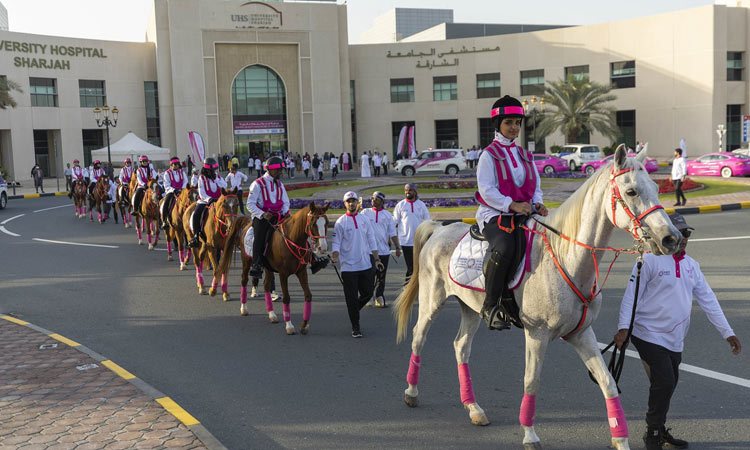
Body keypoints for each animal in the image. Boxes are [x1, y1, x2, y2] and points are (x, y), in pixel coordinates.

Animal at [213, 202, 328, 336]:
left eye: (326, 222)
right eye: (313, 223)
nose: (323, 248)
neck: (292, 239)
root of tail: (247, 223)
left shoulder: (301, 272)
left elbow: (308, 295)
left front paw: (304, 325)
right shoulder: (283, 274)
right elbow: (287, 298)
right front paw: (289, 326)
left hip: (268, 268)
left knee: (267, 285)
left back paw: (272, 315)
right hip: (246, 263)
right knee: (244, 281)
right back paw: (244, 308)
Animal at [396, 146, 684, 448]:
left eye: (656, 187)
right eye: (631, 191)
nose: (671, 239)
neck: (566, 258)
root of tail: (439, 228)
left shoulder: (581, 334)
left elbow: (607, 382)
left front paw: (621, 440)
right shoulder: (537, 334)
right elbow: (531, 381)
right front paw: (530, 434)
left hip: (471, 309)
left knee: (461, 347)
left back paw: (474, 408)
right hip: (432, 301)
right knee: (418, 338)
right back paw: (412, 393)